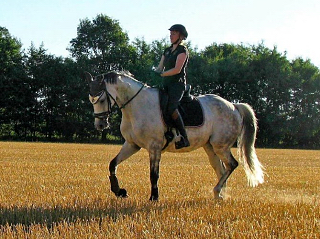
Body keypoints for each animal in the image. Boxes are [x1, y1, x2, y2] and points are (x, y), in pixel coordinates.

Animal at [84, 70, 264, 200]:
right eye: (90, 100)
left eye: (101, 100)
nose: (100, 125)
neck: (136, 105)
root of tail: (233, 105)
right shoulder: (132, 144)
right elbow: (112, 164)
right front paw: (119, 191)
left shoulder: (154, 147)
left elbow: (154, 174)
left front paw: (154, 198)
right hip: (210, 147)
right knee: (221, 169)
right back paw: (219, 196)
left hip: (221, 146)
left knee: (232, 164)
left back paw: (217, 191)